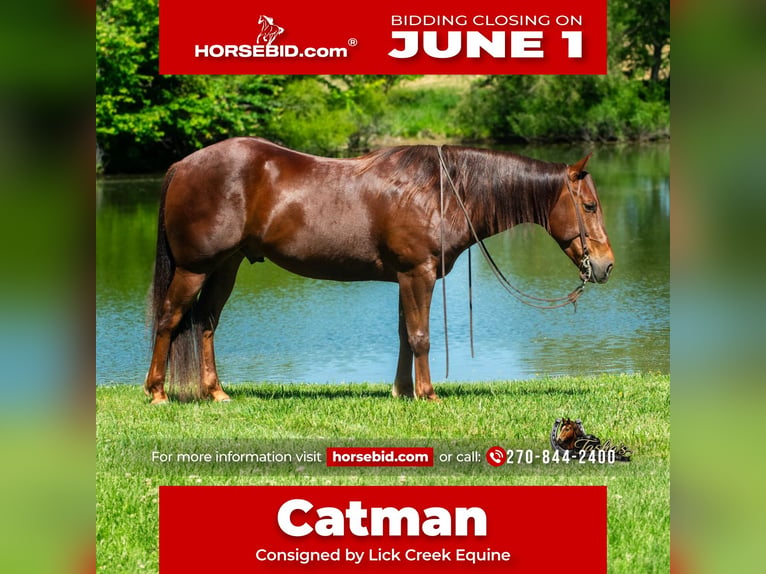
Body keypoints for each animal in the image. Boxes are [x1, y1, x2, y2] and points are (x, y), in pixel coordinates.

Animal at [143, 137, 614, 404]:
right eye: (590, 205)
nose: (606, 265)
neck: (442, 191)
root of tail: (182, 166)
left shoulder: (407, 278)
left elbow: (405, 335)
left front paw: (402, 391)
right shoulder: (418, 274)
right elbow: (421, 337)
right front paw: (428, 395)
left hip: (226, 268)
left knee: (206, 322)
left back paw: (216, 392)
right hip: (194, 268)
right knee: (169, 319)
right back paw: (158, 393)